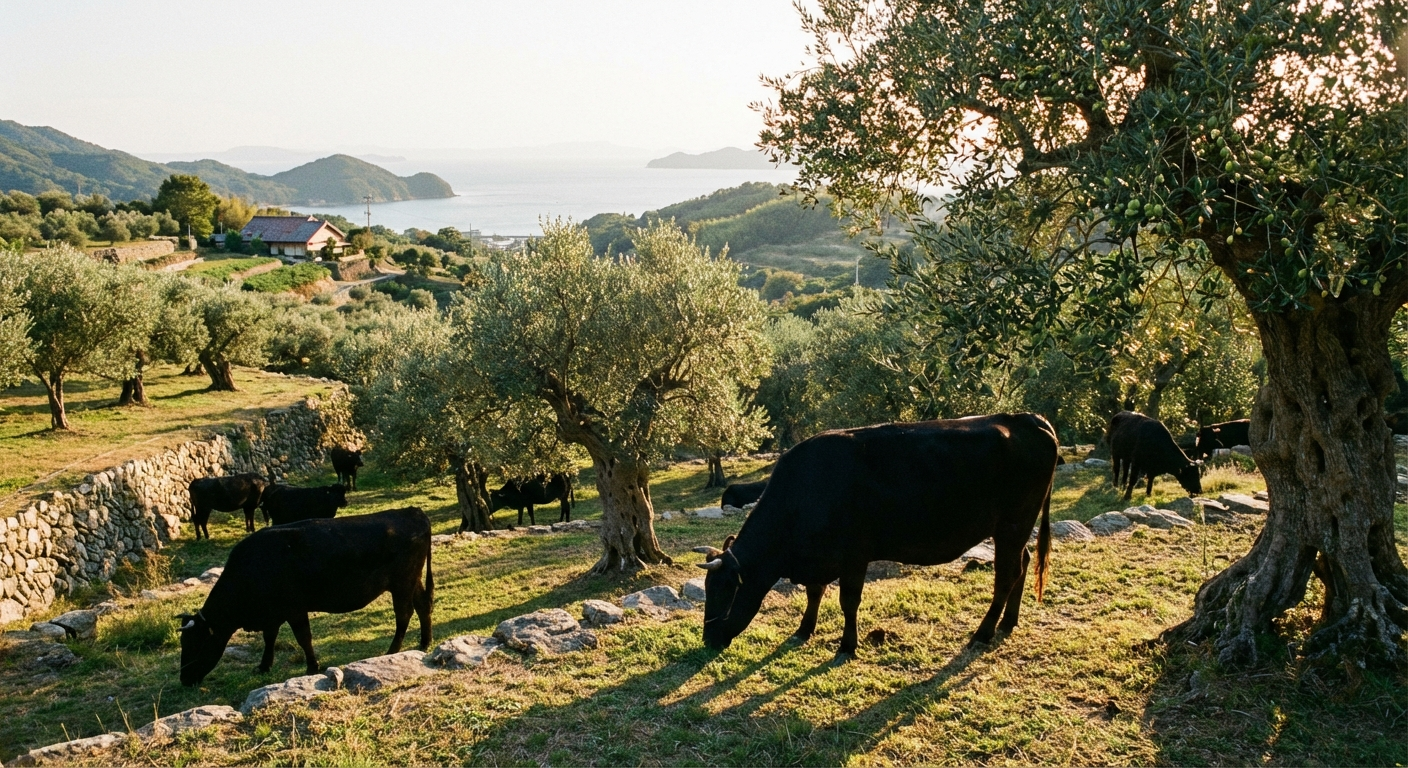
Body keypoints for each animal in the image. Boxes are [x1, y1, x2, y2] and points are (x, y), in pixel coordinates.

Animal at [176, 507, 433, 686]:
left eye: (196, 644)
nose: (184, 679)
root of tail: (412, 511)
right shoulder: (273, 614)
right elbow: (269, 638)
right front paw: (263, 666)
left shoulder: (294, 609)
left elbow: (303, 638)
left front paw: (311, 667)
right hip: (413, 581)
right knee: (423, 605)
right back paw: (424, 642)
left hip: (402, 583)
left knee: (404, 614)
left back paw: (392, 651)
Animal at [693, 414, 1057, 658]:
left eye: (725, 589)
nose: (708, 639)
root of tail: (1027, 419)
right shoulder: (820, 558)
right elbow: (814, 593)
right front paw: (803, 630)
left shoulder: (855, 556)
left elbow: (848, 601)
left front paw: (847, 646)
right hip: (1013, 530)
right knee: (1023, 563)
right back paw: (1008, 622)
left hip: (1013, 525)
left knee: (1006, 574)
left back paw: (983, 633)